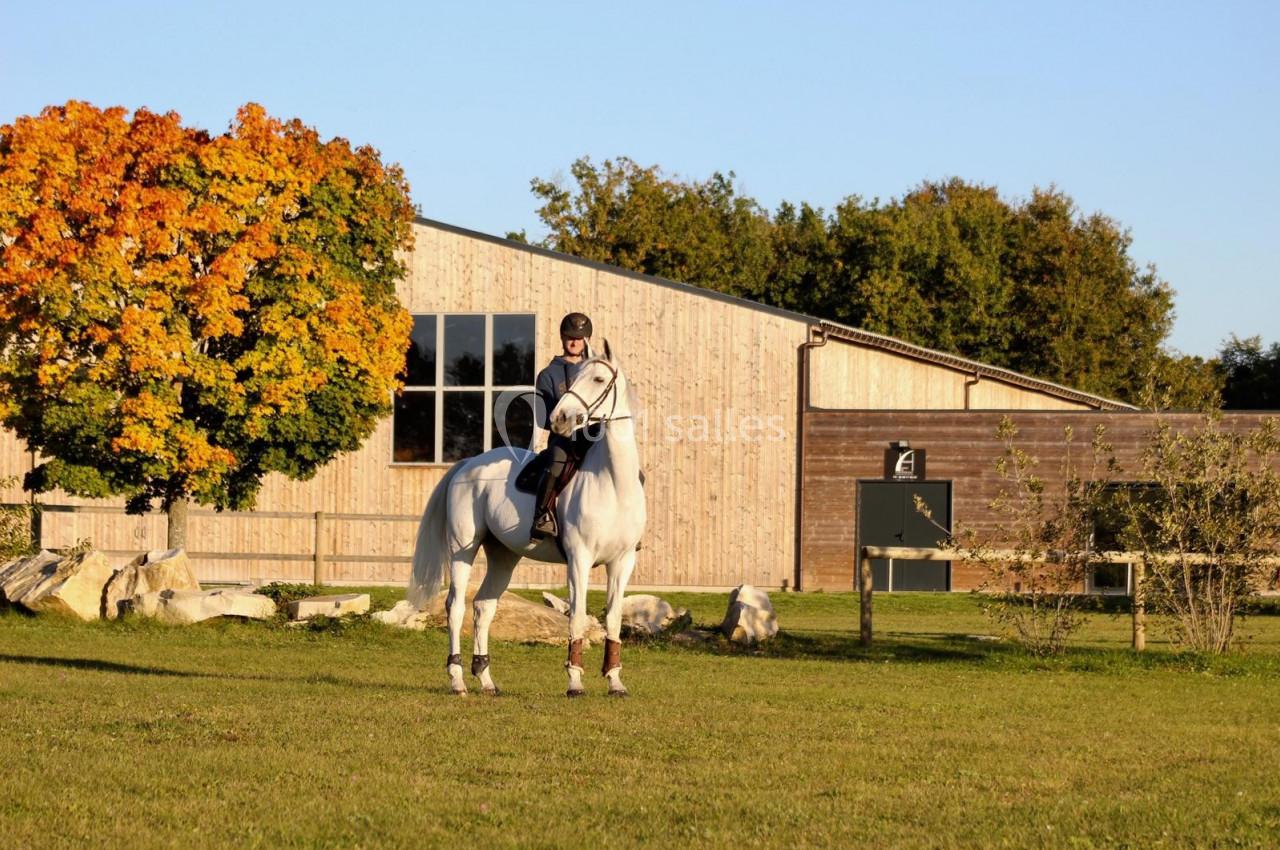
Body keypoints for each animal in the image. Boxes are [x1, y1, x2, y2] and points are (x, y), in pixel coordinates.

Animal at [407, 339, 646, 697]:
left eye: (599, 379)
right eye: (578, 376)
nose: (560, 418)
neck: (613, 483)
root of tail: (467, 464)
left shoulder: (623, 561)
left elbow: (614, 619)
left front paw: (615, 681)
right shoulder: (579, 559)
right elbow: (576, 616)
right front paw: (575, 681)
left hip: (504, 556)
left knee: (484, 606)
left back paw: (486, 680)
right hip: (463, 548)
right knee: (456, 607)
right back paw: (458, 680)